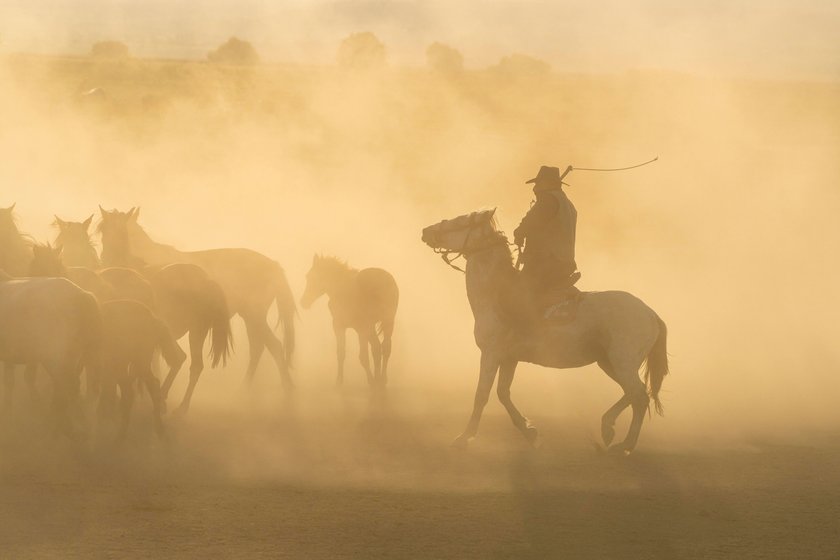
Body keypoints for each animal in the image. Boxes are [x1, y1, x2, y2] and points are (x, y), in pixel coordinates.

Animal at [99, 207, 296, 390]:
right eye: (101, 230)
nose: (103, 260)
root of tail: (273, 265)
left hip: (253, 315)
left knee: (272, 347)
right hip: (250, 316)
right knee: (260, 347)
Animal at [300, 256, 398, 388]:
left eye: (312, 277)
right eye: (308, 276)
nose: (303, 302)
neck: (342, 290)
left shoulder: (355, 328)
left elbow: (362, 357)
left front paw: (370, 381)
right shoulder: (340, 327)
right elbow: (341, 353)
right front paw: (339, 381)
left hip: (372, 326)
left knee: (378, 348)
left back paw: (378, 380)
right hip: (385, 322)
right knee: (383, 348)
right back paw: (381, 379)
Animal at [420, 211, 668, 456]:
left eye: (460, 221)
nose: (426, 231)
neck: (497, 293)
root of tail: (651, 314)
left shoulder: (491, 354)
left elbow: (481, 395)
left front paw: (464, 438)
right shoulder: (509, 358)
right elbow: (503, 393)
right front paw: (530, 433)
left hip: (621, 363)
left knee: (639, 396)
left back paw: (622, 441)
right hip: (608, 363)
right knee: (634, 394)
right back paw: (611, 431)